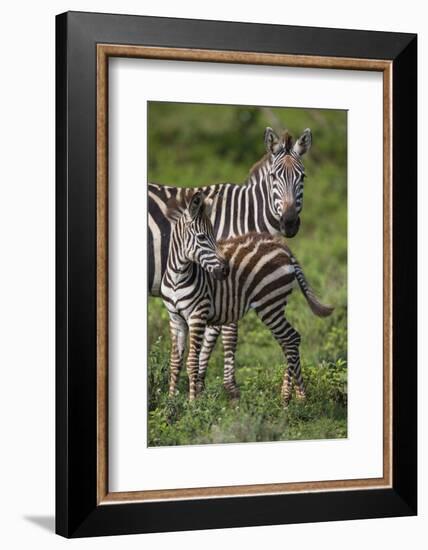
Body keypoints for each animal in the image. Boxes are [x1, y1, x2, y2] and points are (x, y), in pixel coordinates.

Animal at [150, 127, 310, 398]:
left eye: (303, 177)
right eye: (274, 177)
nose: (289, 223)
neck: (244, 216)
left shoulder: (222, 285)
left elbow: (212, 335)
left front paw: (200, 386)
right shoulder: (228, 279)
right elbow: (229, 334)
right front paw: (229, 389)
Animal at [160, 193, 332, 406]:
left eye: (214, 236)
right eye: (201, 237)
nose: (225, 271)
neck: (178, 277)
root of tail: (283, 248)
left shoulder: (197, 315)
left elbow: (192, 361)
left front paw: (192, 404)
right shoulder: (175, 318)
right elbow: (175, 362)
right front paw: (171, 401)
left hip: (270, 304)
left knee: (291, 339)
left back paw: (288, 399)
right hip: (274, 306)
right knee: (289, 341)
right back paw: (297, 397)